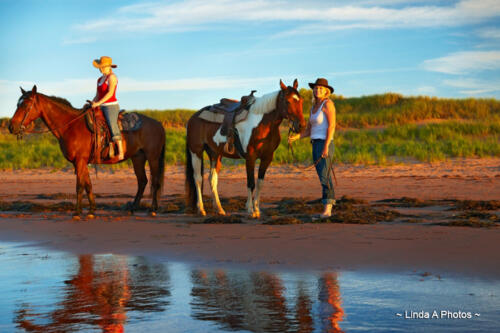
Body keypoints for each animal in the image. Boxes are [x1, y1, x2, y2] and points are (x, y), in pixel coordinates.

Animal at [9, 84, 166, 217]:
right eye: (17, 103)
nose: (11, 127)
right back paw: (133, 208)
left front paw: (77, 212)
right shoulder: (80, 162)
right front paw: (91, 210)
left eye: (25, 104)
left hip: (152, 157)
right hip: (138, 157)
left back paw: (152, 209)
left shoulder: (80, 160)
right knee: (142, 181)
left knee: (155, 181)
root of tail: (158, 124)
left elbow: (79, 186)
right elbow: (88, 185)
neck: (70, 126)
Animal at [187, 79, 306, 217]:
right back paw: (201, 209)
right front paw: (250, 210)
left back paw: (219, 209)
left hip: (215, 154)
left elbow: (260, 183)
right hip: (196, 151)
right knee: (198, 179)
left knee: (212, 179)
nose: (301, 126)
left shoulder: (267, 158)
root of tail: (194, 117)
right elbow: (251, 183)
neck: (263, 124)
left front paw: (257, 209)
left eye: (301, 101)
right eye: (287, 101)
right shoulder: (250, 157)